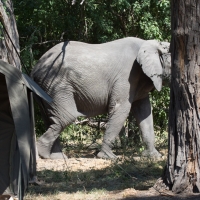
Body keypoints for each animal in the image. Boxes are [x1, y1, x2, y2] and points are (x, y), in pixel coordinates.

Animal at [31, 37, 170, 159]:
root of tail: (35, 68)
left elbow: (144, 112)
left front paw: (154, 156)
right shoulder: (127, 76)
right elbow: (121, 108)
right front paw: (109, 157)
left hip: (46, 88)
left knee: (51, 120)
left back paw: (56, 157)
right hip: (56, 84)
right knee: (66, 117)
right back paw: (44, 155)